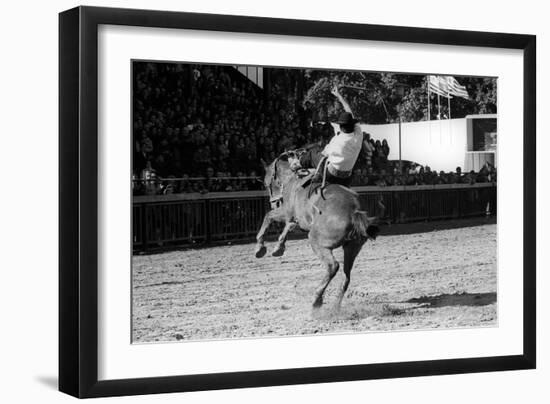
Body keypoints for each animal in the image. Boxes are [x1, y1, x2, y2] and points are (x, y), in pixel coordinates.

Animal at [256, 150, 386, 310]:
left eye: (266, 183)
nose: (273, 203)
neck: (292, 179)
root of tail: (354, 211)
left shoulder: (286, 212)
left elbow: (268, 216)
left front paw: (260, 248)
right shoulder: (295, 219)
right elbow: (288, 226)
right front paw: (278, 248)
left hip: (317, 242)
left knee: (333, 266)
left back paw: (317, 298)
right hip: (352, 247)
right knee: (346, 275)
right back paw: (335, 306)